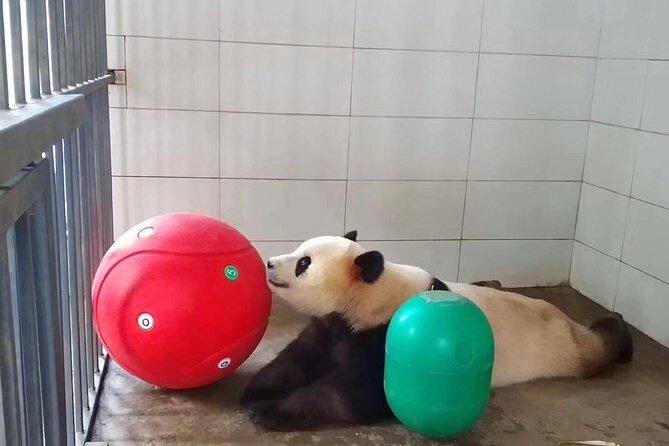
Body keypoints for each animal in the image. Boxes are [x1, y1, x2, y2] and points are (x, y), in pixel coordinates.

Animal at [240, 231, 633, 431]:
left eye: (304, 263)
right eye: (299, 249)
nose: (270, 263)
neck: (369, 296)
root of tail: (561, 314)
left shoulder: (385, 333)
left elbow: (358, 393)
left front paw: (271, 411)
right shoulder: (334, 325)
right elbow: (300, 357)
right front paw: (255, 391)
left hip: (560, 347)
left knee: (594, 350)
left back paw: (618, 329)